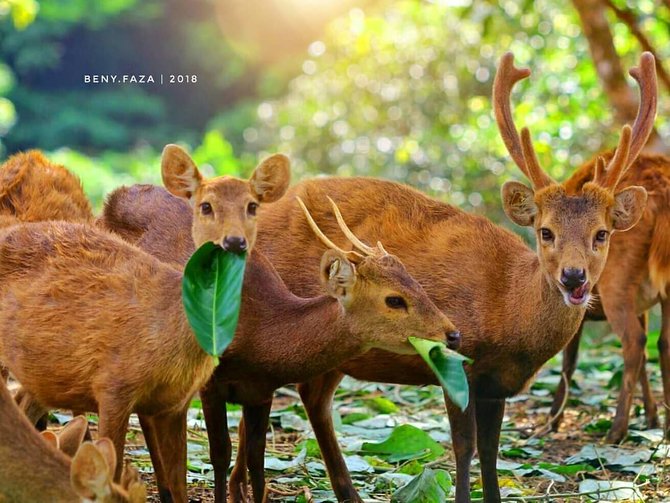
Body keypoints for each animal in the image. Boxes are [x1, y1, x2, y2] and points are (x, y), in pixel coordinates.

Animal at [96, 186, 462, 503]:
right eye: (394, 300)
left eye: (416, 282)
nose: (452, 334)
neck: (261, 335)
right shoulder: (211, 383)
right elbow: (220, 454)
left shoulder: (261, 391)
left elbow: (257, 464)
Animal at [548, 152, 670, 442]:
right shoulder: (642, 306)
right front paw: (651, 417)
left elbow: (569, 360)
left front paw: (553, 420)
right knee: (662, 343)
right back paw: (667, 428)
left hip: (617, 281)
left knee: (634, 341)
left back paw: (616, 430)